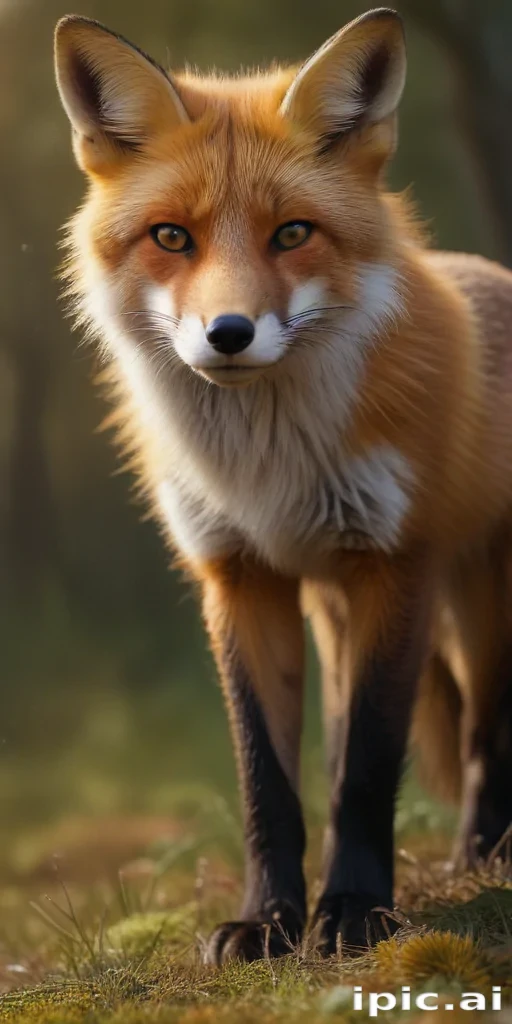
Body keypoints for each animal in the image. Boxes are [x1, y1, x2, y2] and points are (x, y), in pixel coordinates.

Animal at [54, 7, 512, 963]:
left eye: (293, 233)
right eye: (172, 237)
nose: (228, 333)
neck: (268, 469)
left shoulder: (395, 565)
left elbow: (366, 770)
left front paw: (356, 913)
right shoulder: (240, 576)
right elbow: (271, 779)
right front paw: (268, 921)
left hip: (481, 603)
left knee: (485, 736)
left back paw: (481, 858)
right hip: (340, 613)